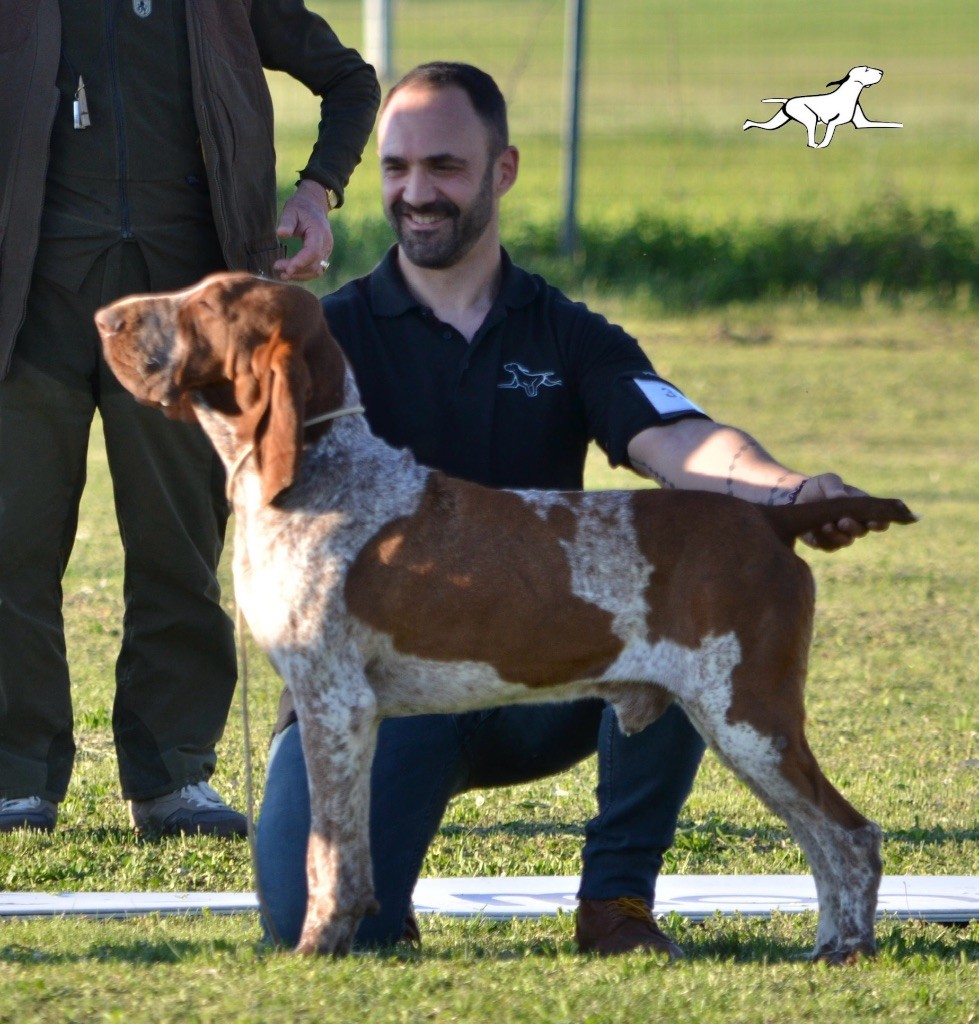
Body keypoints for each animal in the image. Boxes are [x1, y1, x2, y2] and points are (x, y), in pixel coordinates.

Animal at [95, 270, 913, 958]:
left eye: (209, 302)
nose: (104, 316)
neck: (323, 473)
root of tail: (767, 520)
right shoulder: (350, 718)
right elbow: (349, 850)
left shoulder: (334, 703)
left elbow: (324, 852)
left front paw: (317, 948)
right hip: (737, 721)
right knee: (822, 840)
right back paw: (829, 943)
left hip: (744, 714)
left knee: (850, 837)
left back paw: (846, 948)